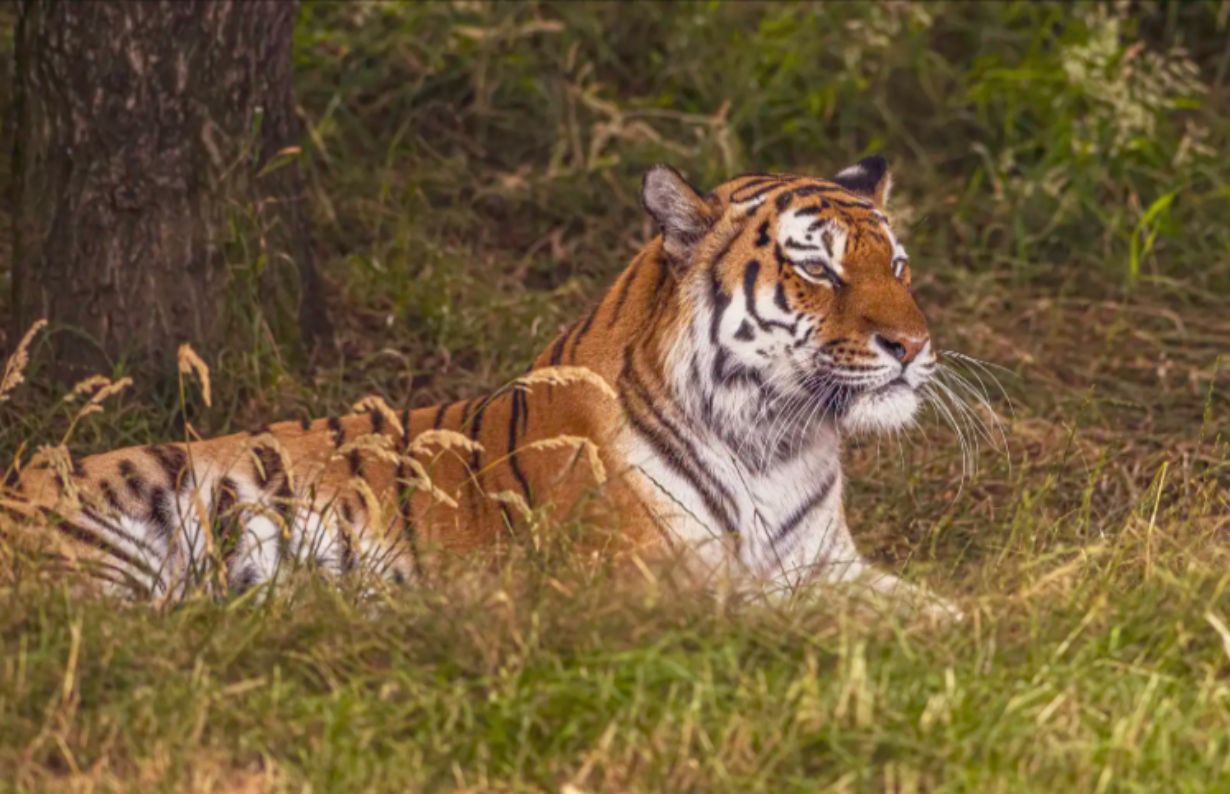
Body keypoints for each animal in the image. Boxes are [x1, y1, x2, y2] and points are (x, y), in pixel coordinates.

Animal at [7, 156, 958, 618]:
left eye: (897, 266)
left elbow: (949, 614)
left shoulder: (831, 564)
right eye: (817, 270)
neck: (777, 441)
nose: (914, 345)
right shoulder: (649, 587)